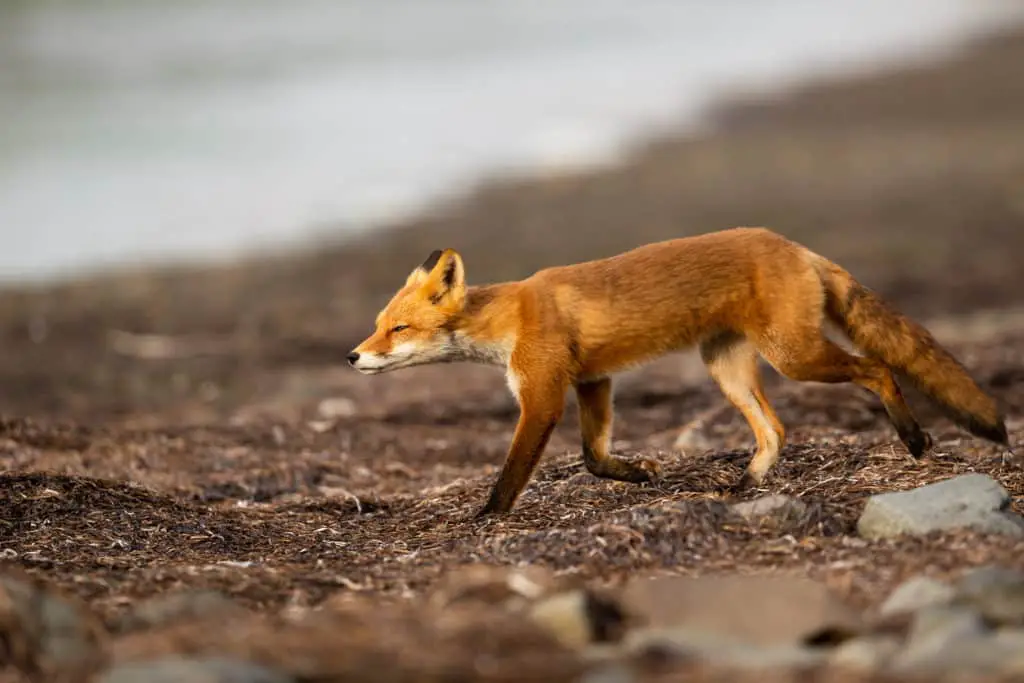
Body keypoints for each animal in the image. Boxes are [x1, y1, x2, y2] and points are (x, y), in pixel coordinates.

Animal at [348, 227, 1011, 516]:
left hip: (795, 357)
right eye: (378, 324)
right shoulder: (593, 381)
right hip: (728, 368)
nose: (353, 356)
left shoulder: (543, 395)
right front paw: (641, 473)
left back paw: (914, 438)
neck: (508, 318)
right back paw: (745, 486)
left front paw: (488, 516)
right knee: (776, 431)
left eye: (398, 330)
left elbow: (513, 470)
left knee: (877, 369)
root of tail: (796, 245)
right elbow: (594, 457)